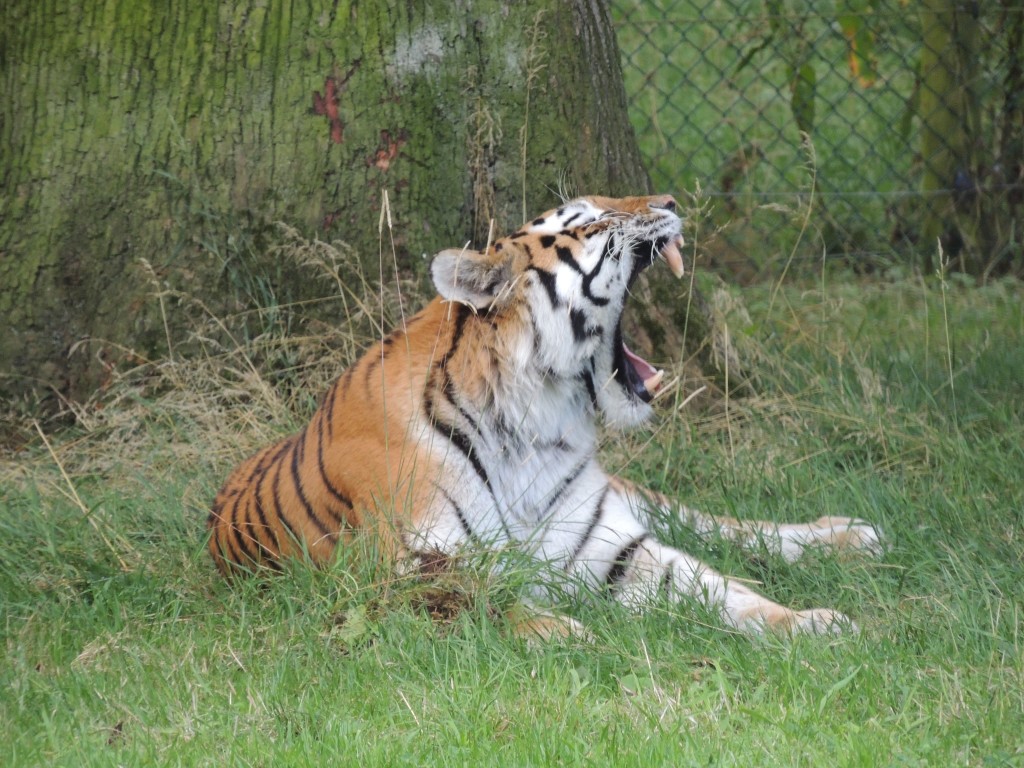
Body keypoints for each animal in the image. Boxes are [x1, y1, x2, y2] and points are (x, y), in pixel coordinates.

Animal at [209, 193, 880, 638]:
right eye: (587, 219)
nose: (669, 199)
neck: (533, 424)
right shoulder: (405, 570)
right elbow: (489, 600)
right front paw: (568, 633)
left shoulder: (612, 543)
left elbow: (715, 586)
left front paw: (814, 622)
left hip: (635, 497)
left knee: (722, 526)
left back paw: (849, 535)